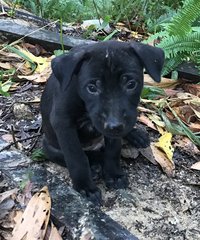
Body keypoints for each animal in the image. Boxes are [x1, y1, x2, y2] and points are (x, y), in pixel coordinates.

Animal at [40, 40, 164, 202]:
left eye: (131, 84)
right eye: (92, 88)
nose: (114, 124)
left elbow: (113, 149)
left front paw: (113, 174)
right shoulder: (63, 122)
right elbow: (77, 157)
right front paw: (85, 187)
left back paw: (135, 136)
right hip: (49, 145)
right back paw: (94, 167)